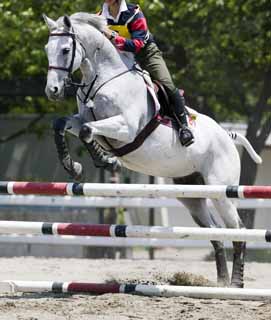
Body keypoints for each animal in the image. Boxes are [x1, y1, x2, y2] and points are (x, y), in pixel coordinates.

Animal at [43, 13, 262, 288]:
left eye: (65, 49)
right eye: (46, 49)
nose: (52, 91)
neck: (103, 78)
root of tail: (227, 136)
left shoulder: (126, 128)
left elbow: (86, 132)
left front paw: (107, 161)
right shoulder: (83, 119)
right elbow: (63, 124)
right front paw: (73, 166)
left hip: (221, 192)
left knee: (238, 230)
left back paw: (235, 284)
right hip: (192, 195)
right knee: (214, 232)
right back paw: (221, 282)